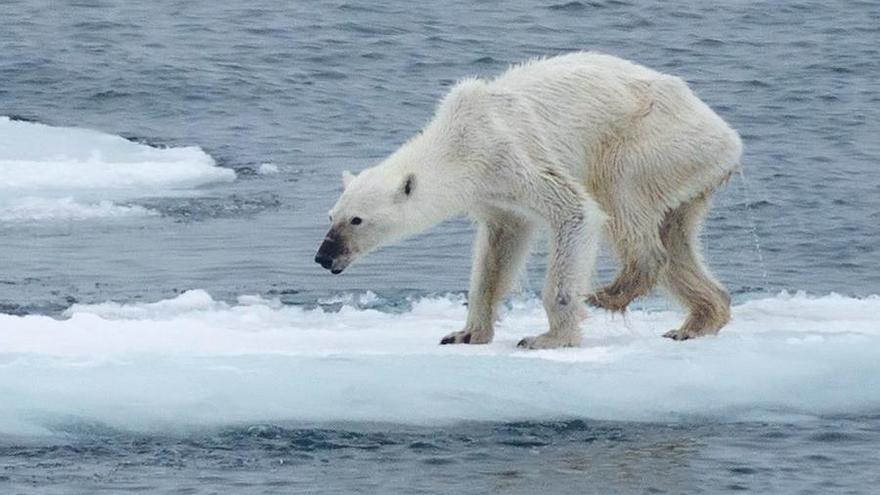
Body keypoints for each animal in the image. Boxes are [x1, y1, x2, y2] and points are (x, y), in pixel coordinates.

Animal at [316, 53, 744, 348]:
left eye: (356, 220)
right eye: (331, 214)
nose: (323, 256)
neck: (459, 140)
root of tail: (728, 137)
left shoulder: (510, 154)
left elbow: (575, 211)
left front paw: (548, 338)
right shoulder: (492, 194)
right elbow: (499, 249)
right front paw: (465, 333)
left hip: (653, 142)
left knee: (621, 196)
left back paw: (611, 292)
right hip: (688, 172)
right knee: (676, 238)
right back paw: (697, 321)